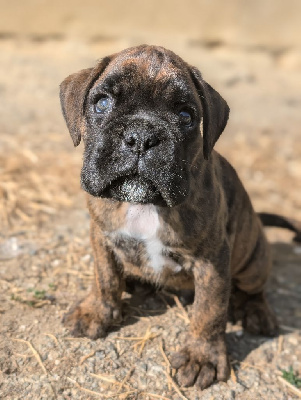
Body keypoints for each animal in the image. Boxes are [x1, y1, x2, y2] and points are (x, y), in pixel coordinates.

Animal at [59, 45, 278, 390]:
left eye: (186, 116)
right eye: (102, 102)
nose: (141, 136)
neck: (145, 205)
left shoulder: (213, 261)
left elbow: (209, 310)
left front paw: (201, 356)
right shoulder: (101, 236)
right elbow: (104, 277)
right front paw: (96, 311)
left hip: (254, 260)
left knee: (255, 287)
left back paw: (256, 312)